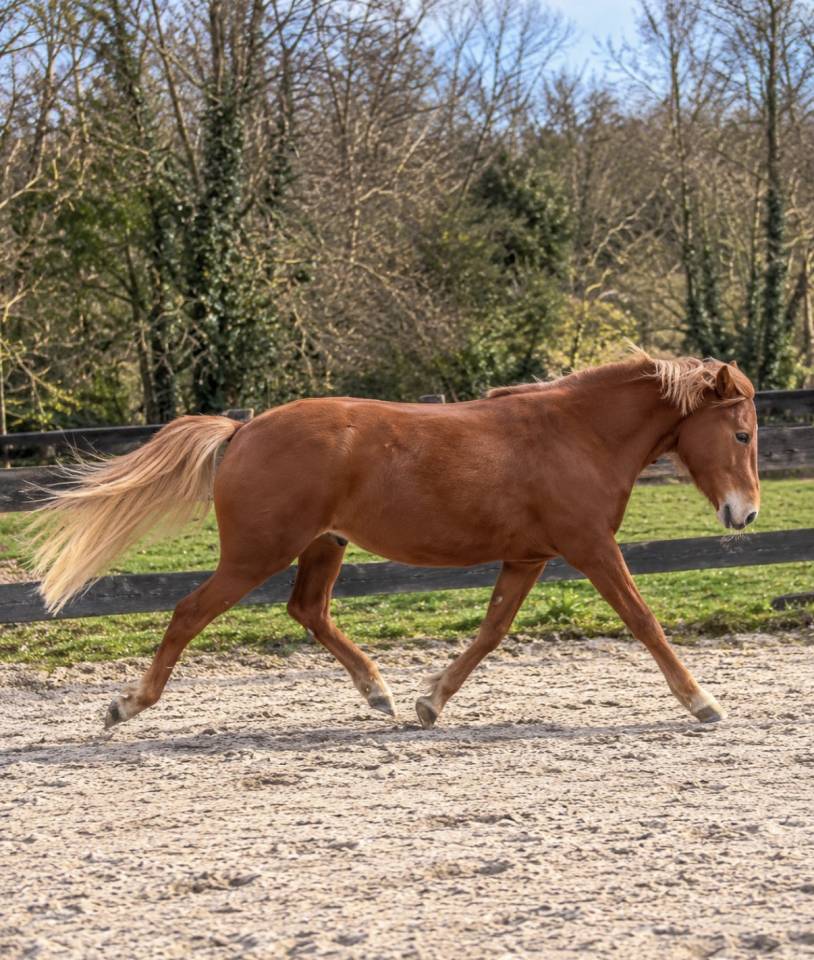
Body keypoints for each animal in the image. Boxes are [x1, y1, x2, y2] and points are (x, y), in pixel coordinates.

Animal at [29, 350, 759, 730]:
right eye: (743, 433)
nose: (746, 514)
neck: (576, 434)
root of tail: (244, 429)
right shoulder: (590, 548)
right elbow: (643, 619)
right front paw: (704, 703)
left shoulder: (528, 556)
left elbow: (492, 631)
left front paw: (427, 702)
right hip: (256, 553)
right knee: (188, 613)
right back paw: (126, 705)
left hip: (324, 545)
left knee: (308, 610)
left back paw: (377, 691)